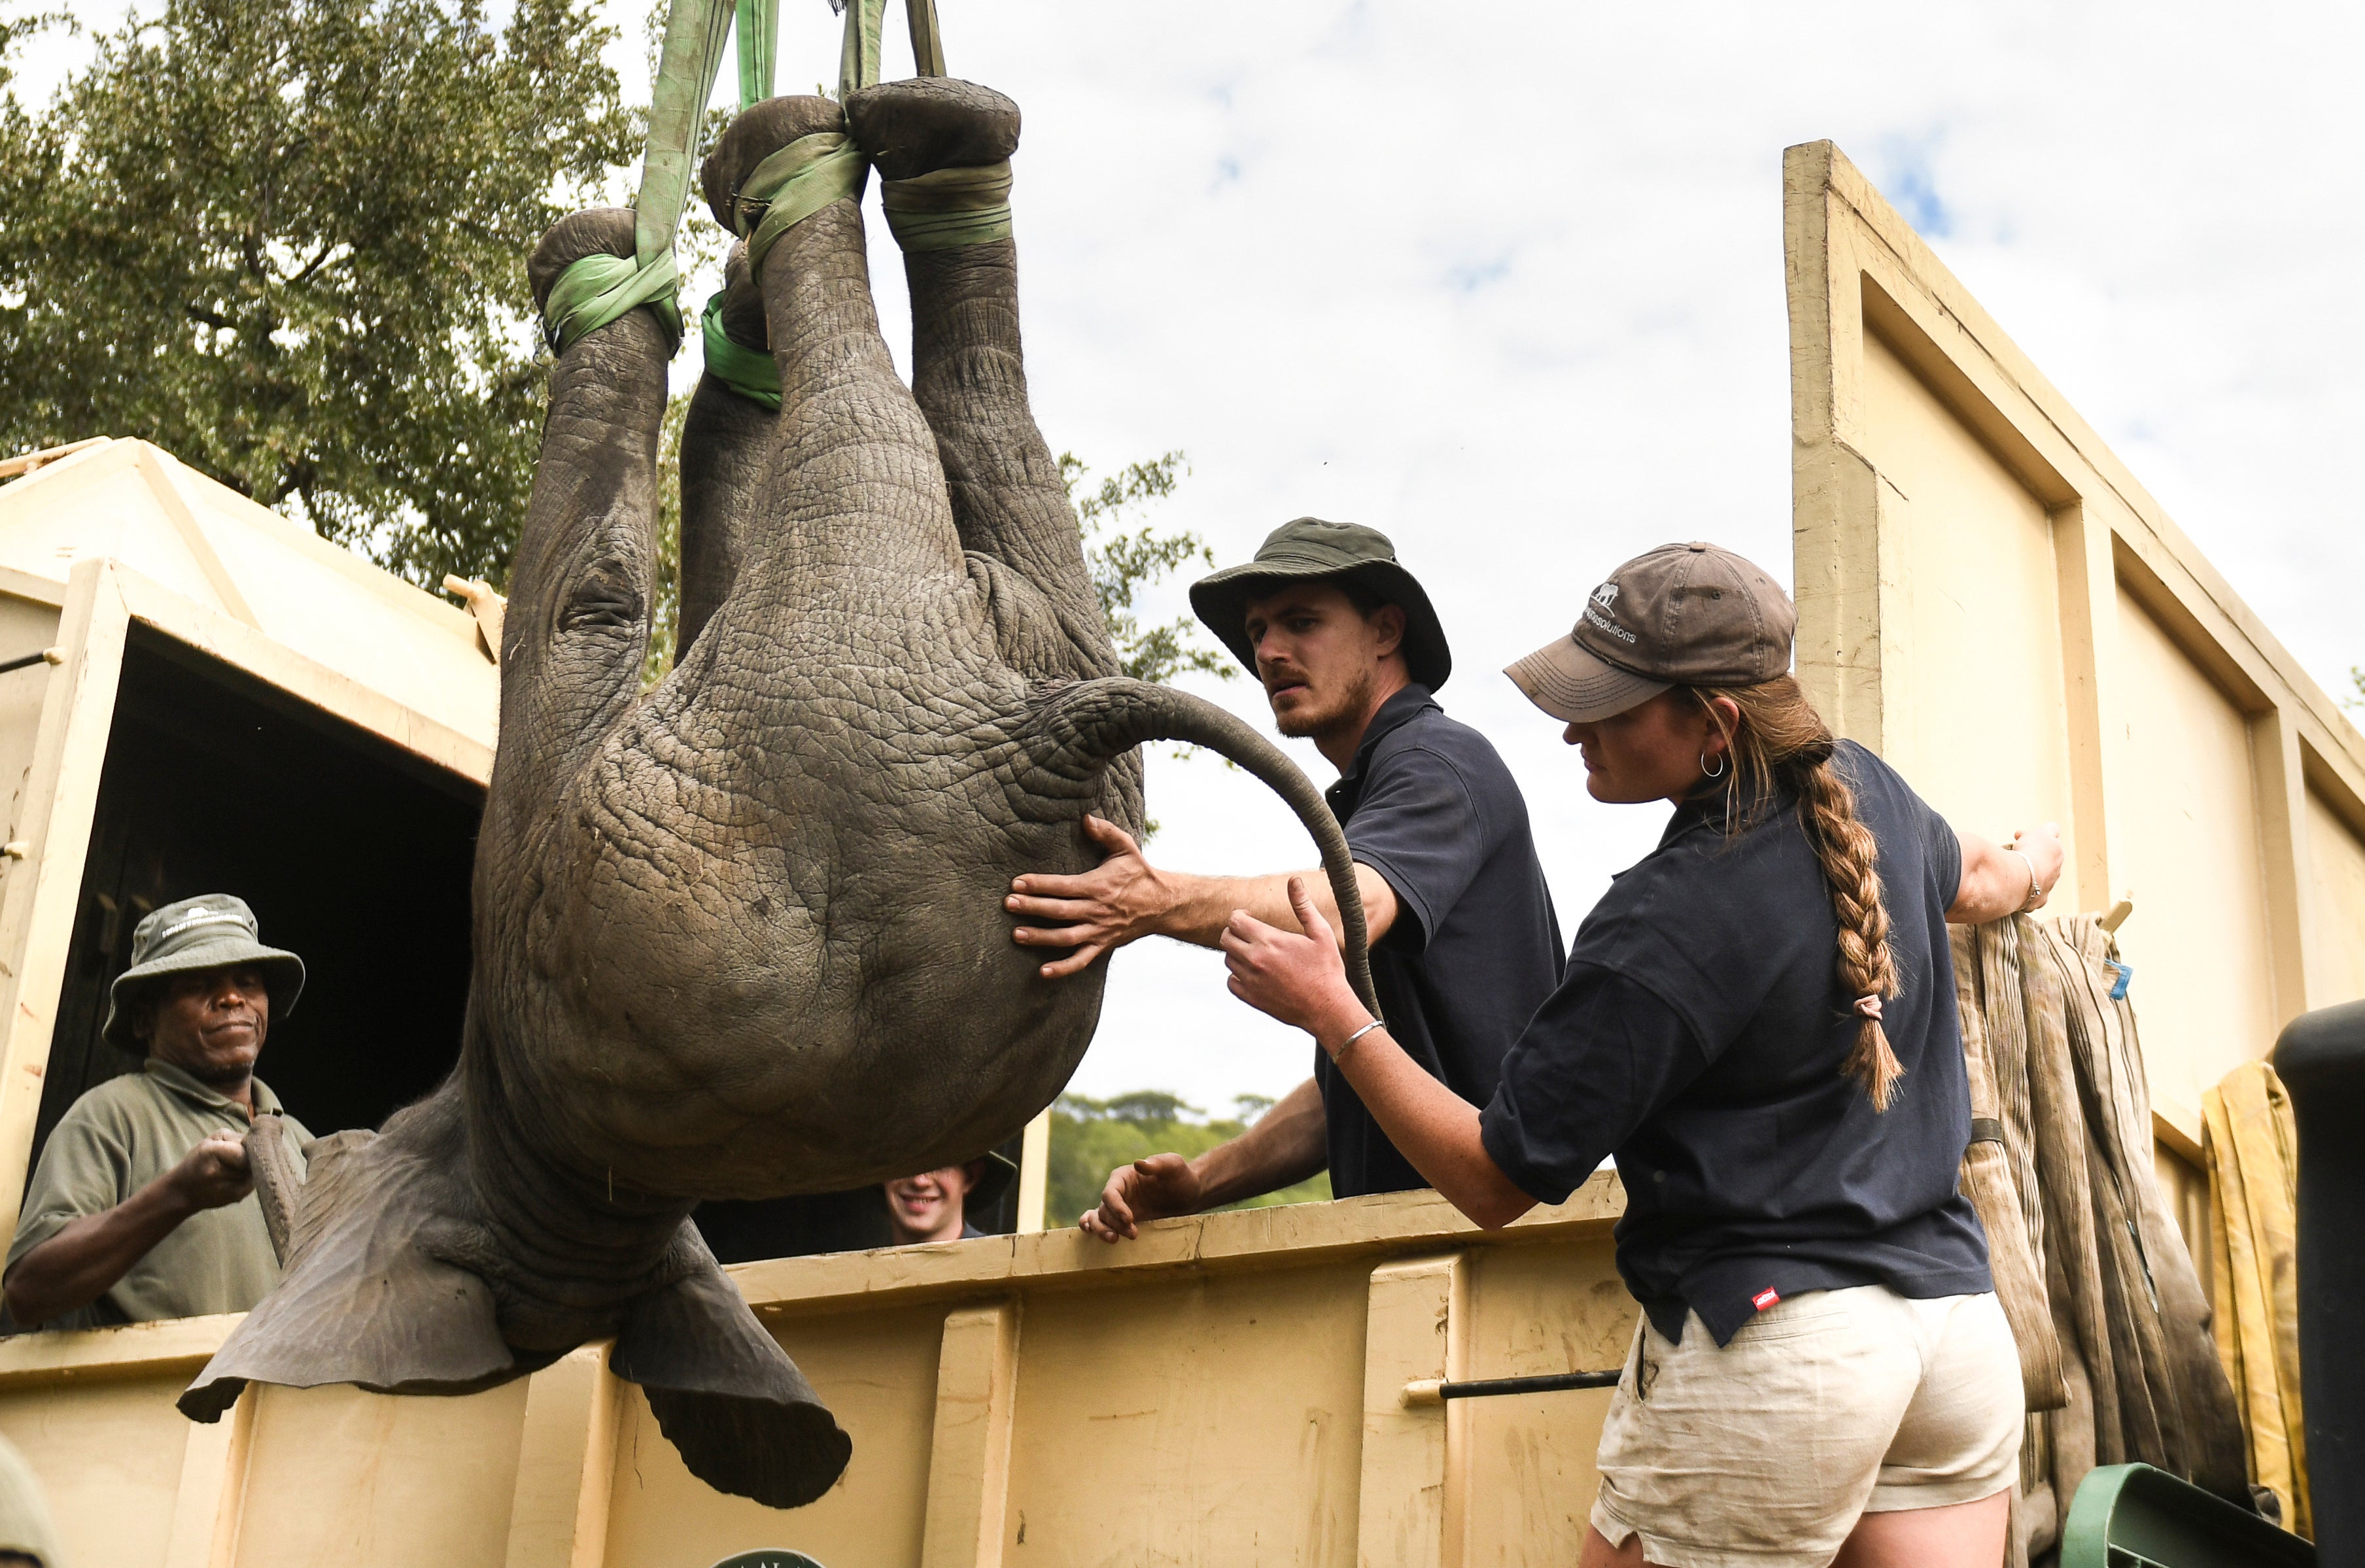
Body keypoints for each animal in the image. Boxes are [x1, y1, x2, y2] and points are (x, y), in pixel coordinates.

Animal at [175, 80, 1381, 1513]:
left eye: (340, 1161)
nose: (300, 1127)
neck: (579, 1192)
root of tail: (1030, 735)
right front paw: (723, 291)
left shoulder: (543, 852)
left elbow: (582, 598)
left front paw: (620, 269)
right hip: (962, 637)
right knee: (973, 435)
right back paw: (925, 146)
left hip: (837, 642)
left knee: (841, 435)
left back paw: (783, 161)